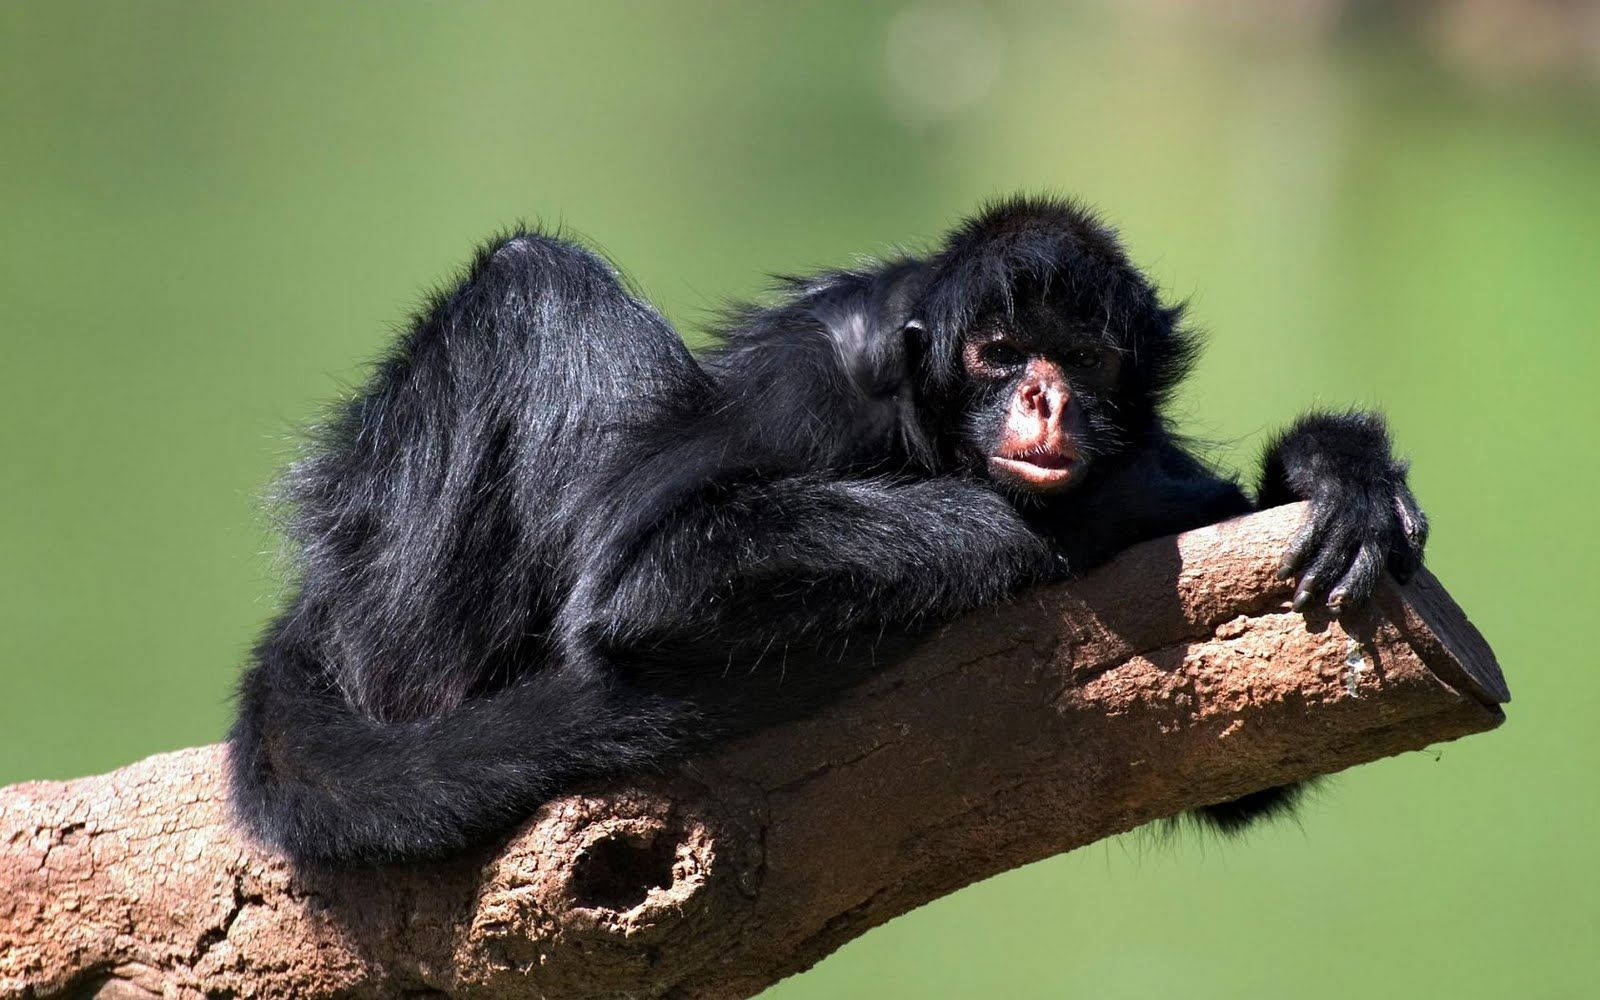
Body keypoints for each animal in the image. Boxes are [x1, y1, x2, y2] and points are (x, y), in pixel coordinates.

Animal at [228, 196, 1428, 866]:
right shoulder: (818, 382)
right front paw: (1102, 510)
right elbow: (644, 579)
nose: (1045, 397)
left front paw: (1335, 468)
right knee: (535, 275)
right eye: (999, 352)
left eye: (1082, 359)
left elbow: (1240, 773)